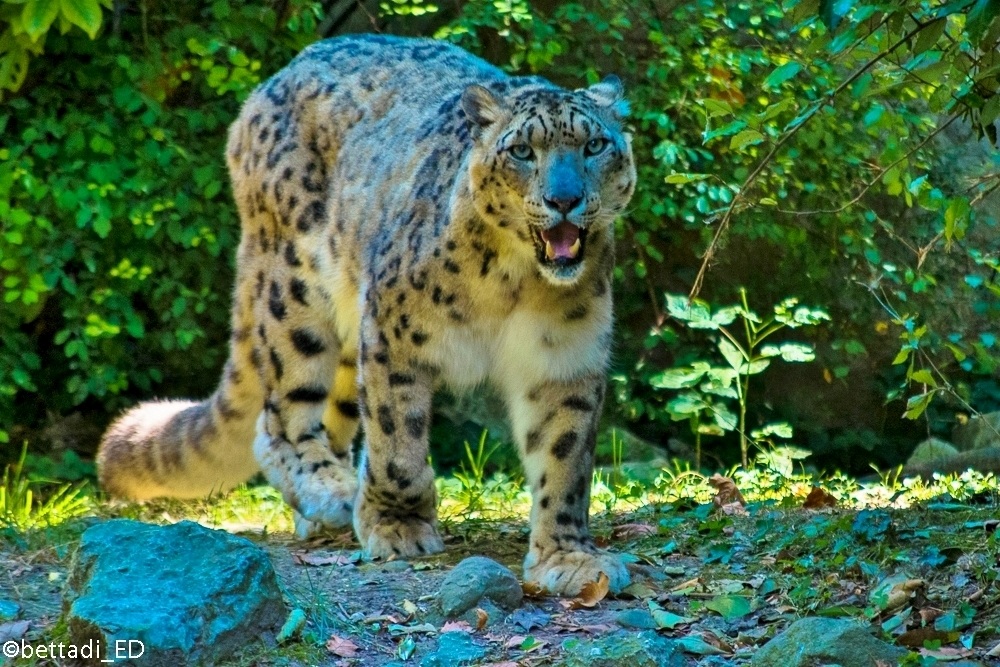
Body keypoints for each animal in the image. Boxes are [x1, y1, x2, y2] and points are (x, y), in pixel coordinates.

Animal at [97, 33, 636, 596]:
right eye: (522, 151)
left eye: (594, 146)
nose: (564, 199)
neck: (517, 283)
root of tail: (272, 81)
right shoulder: (395, 331)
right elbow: (396, 439)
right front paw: (398, 526)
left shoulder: (564, 357)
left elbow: (564, 456)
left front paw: (568, 557)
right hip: (295, 292)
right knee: (280, 417)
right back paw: (332, 492)